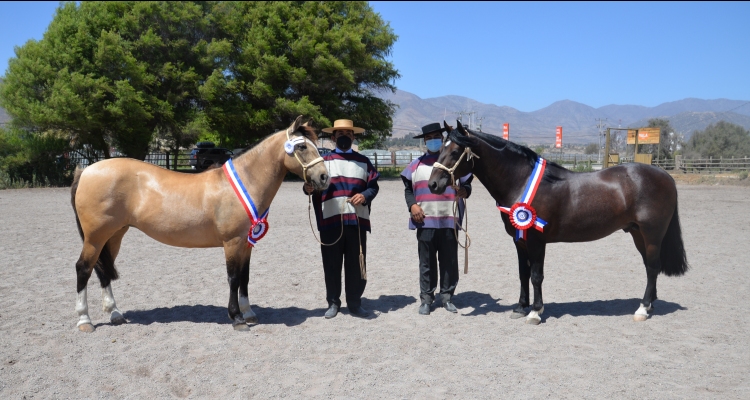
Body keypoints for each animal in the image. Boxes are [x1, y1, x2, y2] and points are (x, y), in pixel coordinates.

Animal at [72, 115, 328, 332]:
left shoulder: (246, 243)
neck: (244, 183)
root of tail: (86, 170)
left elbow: (244, 277)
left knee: (103, 270)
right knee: (84, 268)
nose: (324, 177)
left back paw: (115, 313)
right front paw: (237, 318)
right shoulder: (232, 242)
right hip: (96, 236)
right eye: (302, 147)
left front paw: (249, 312)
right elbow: (233, 278)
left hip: (114, 235)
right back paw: (85, 320)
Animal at [432, 122, 692, 324]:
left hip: (651, 234)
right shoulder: (520, 241)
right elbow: (523, 273)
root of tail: (665, 176)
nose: (434, 184)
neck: (521, 181)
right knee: (651, 266)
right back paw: (650, 305)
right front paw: (521, 307)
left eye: (455, 151)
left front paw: (535, 312)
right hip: (638, 233)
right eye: (441, 149)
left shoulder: (536, 240)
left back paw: (642, 309)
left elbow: (536, 275)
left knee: (652, 267)